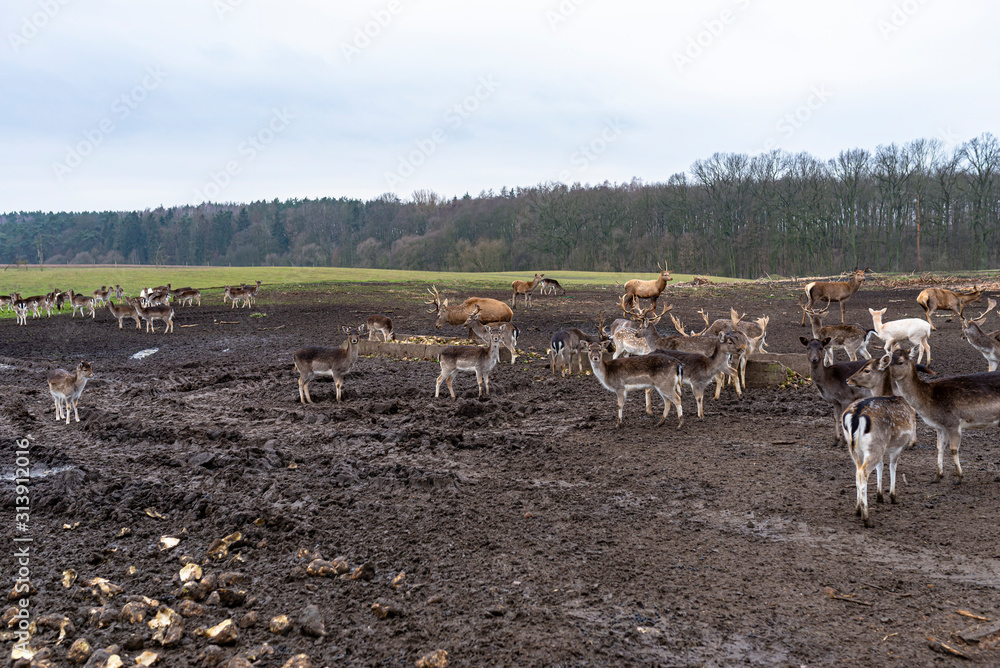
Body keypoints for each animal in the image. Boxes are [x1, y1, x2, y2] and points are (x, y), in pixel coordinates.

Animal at [885, 346, 1000, 483]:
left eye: (900, 362)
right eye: (888, 359)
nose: (886, 373)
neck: (928, 399)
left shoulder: (952, 422)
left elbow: (953, 449)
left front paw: (958, 478)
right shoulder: (940, 426)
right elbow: (939, 447)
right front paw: (937, 476)